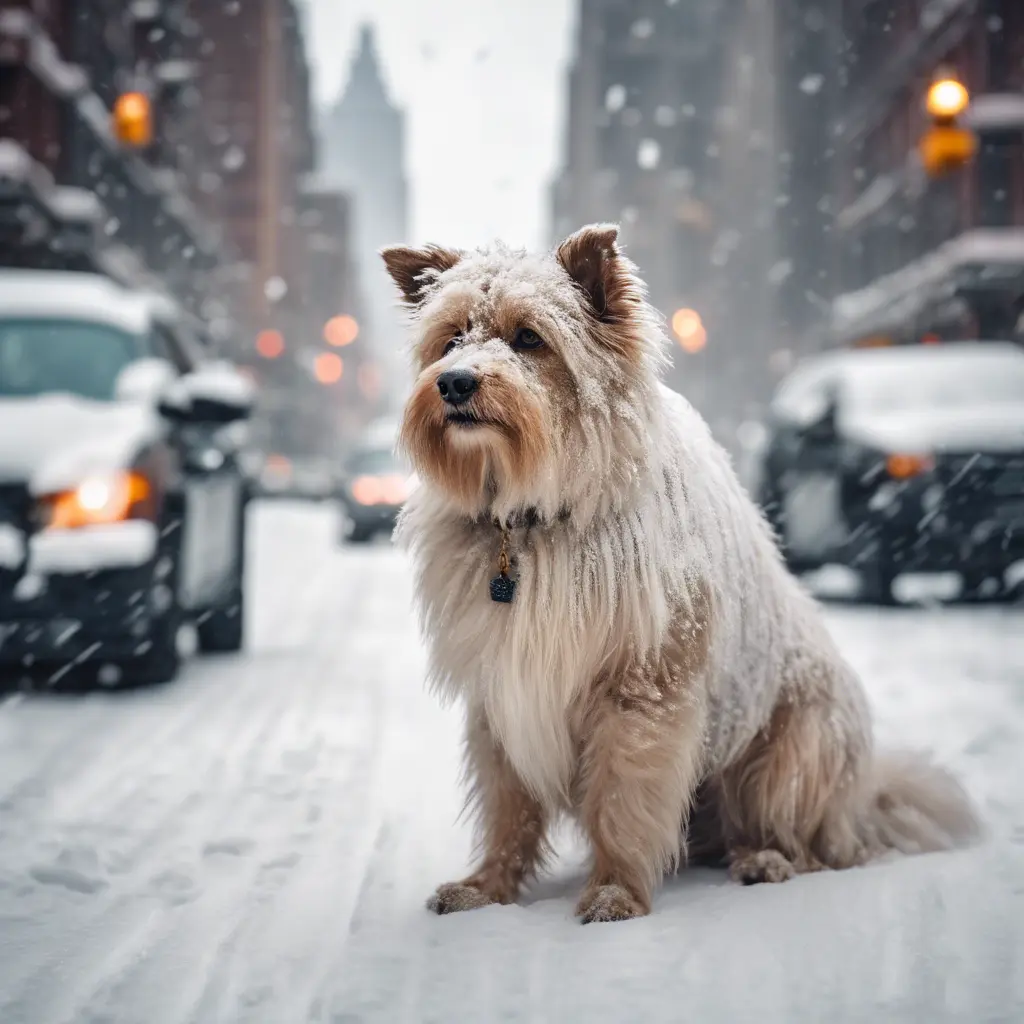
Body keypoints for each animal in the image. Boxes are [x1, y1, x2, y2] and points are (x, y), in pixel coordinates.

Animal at [385, 226, 983, 929]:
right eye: (451, 339)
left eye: (528, 337)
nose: (454, 383)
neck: (532, 517)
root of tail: (861, 804)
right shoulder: (500, 694)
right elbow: (509, 808)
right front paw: (488, 886)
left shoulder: (642, 693)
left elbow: (622, 802)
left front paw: (615, 893)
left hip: (794, 750)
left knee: (811, 843)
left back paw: (768, 860)